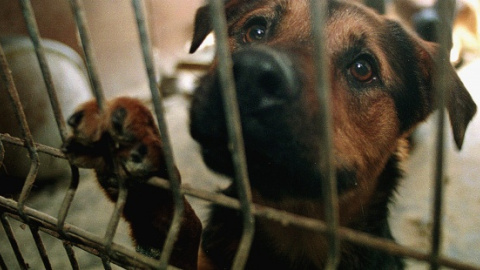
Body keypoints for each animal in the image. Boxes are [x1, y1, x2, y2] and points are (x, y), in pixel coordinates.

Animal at [62, 0, 476, 270]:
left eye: (363, 69)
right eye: (255, 30)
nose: (249, 75)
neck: (293, 225)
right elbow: (181, 228)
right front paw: (144, 169)